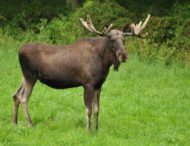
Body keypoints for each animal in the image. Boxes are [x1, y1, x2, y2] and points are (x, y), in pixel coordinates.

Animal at [13, 14, 150, 130]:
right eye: (111, 39)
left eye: (124, 39)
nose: (123, 56)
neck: (104, 63)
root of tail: (19, 51)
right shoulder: (87, 83)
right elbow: (88, 110)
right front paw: (88, 130)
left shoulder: (98, 85)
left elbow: (97, 109)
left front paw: (96, 129)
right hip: (30, 75)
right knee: (24, 98)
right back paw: (30, 124)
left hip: (25, 76)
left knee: (16, 95)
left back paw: (14, 122)